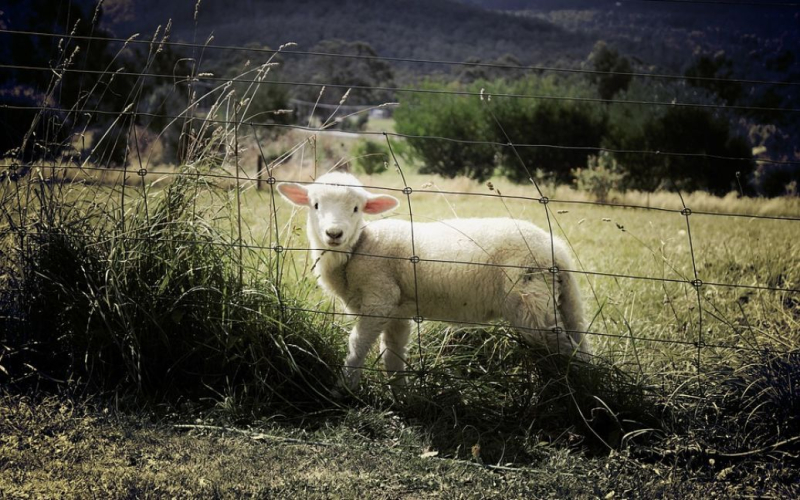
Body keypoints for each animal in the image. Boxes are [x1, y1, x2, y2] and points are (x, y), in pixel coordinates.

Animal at [278, 172, 592, 390]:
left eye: (357, 209)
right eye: (315, 205)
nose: (334, 234)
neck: (358, 248)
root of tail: (556, 250)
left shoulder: (380, 298)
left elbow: (358, 345)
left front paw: (343, 388)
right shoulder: (397, 311)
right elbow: (392, 355)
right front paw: (400, 396)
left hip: (529, 303)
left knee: (564, 347)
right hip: (558, 300)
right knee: (578, 341)